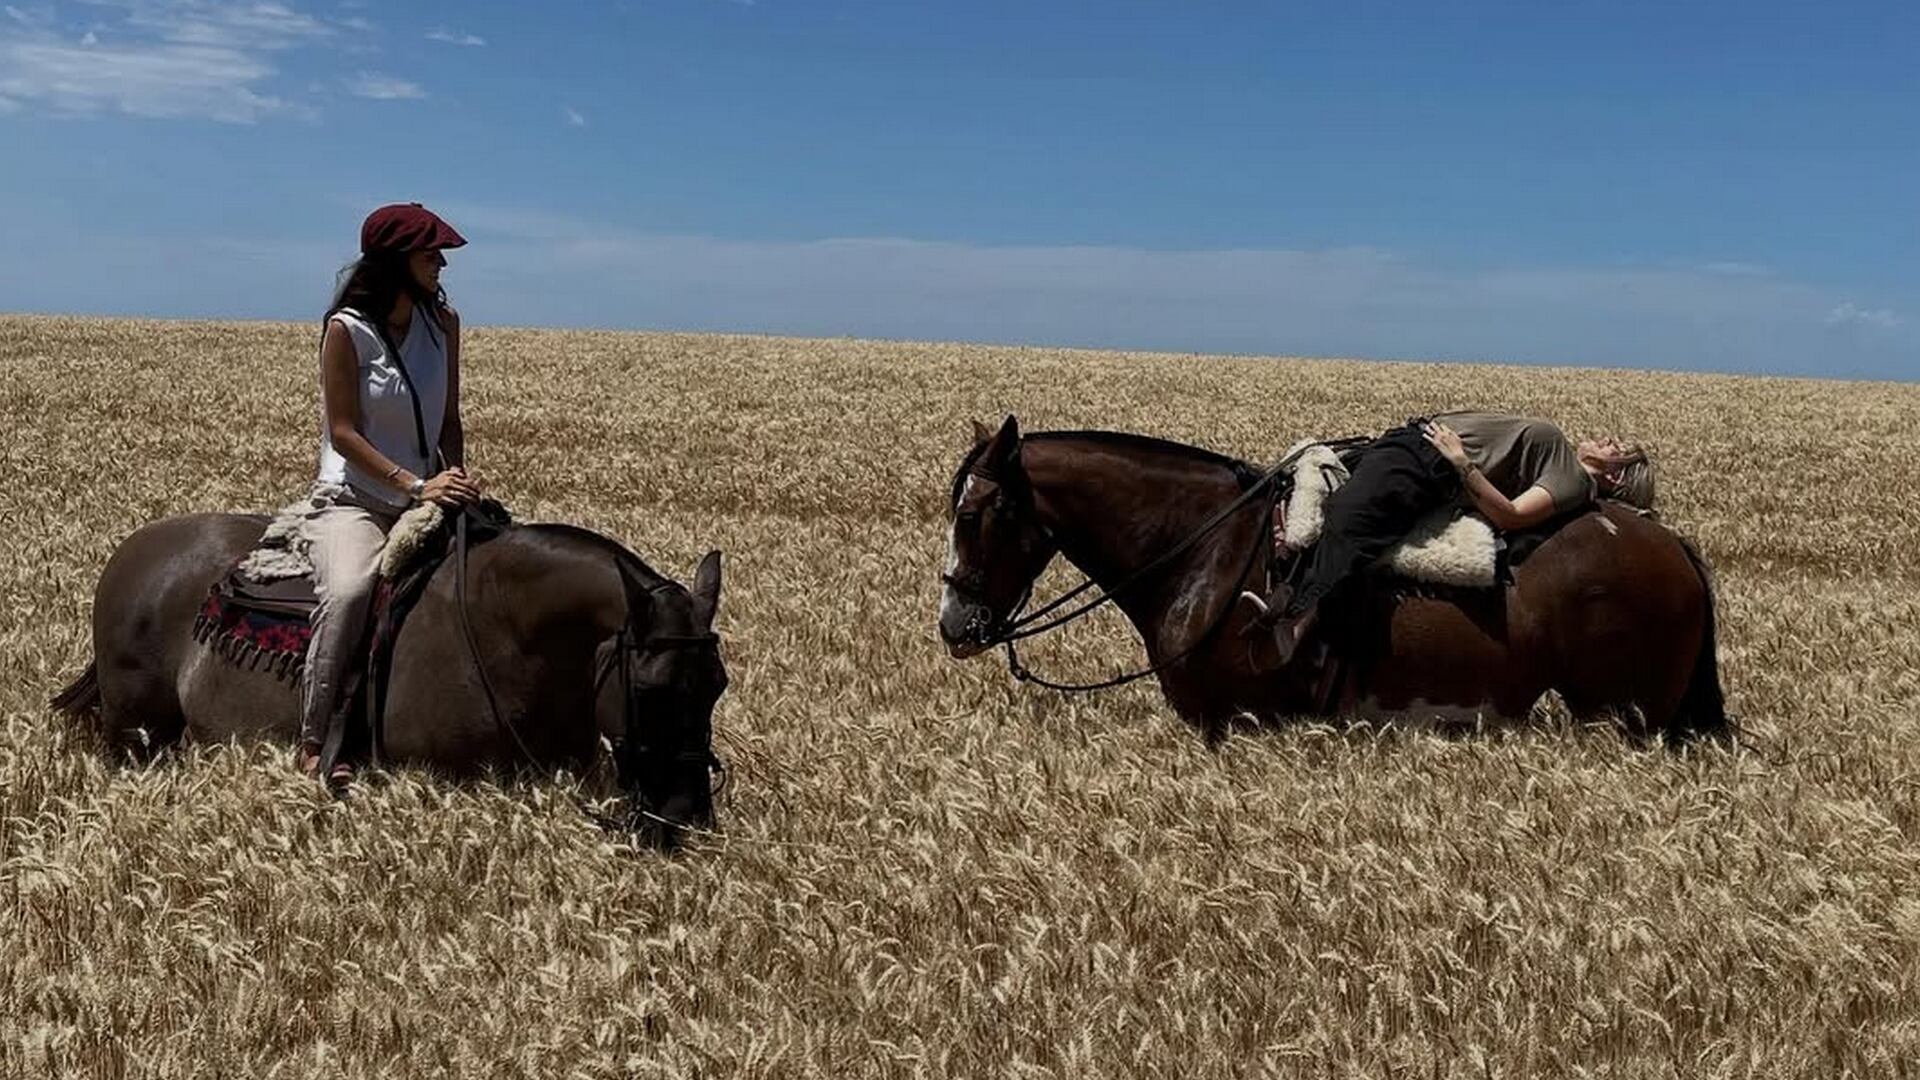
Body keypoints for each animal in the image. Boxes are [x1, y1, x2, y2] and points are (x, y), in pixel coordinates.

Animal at [50, 512, 729, 847]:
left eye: (718, 684)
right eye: (653, 687)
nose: (686, 815)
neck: (511, 629)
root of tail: (133, 551)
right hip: (135, 736)